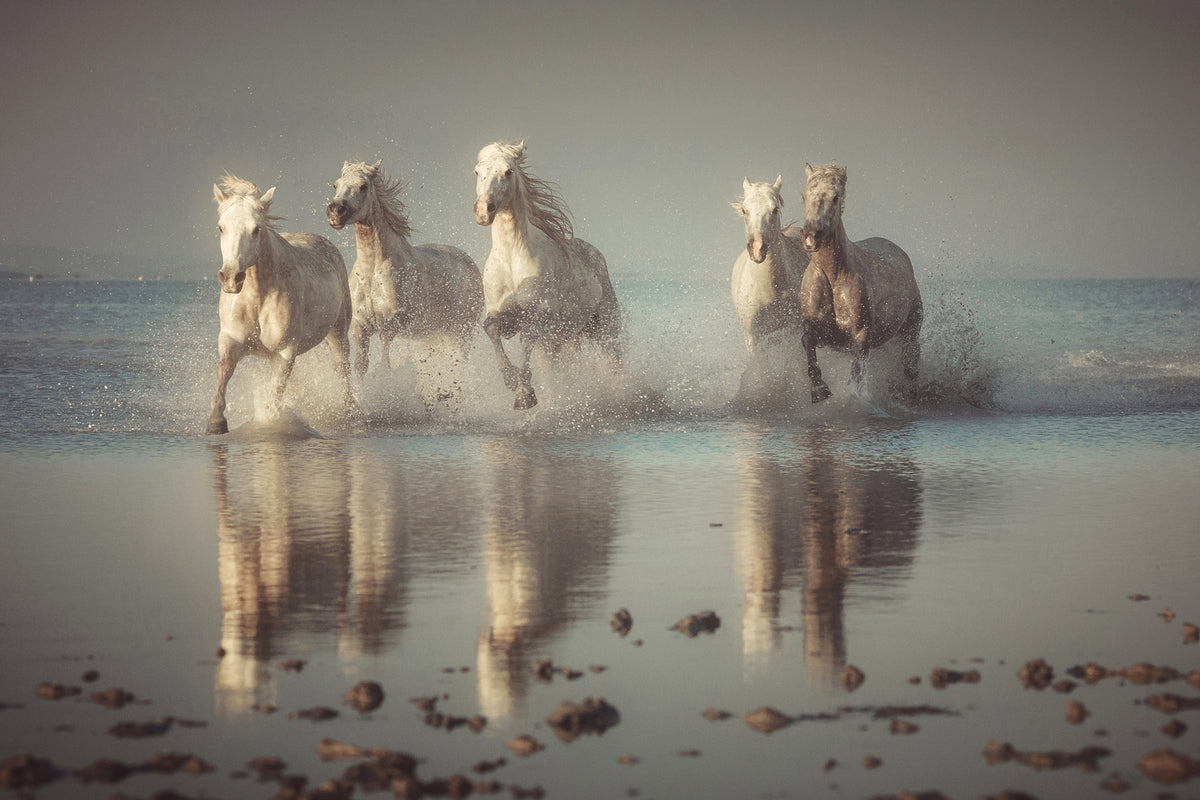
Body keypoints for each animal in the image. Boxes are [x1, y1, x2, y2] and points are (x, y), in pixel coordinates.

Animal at [206, 176, 352, 438]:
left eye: (256, 229)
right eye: (221, 227)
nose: (231, 278)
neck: (258, 297)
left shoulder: (284, 350)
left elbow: (275, 393)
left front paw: (272, 426)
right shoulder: (232, 339)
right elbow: (224, 370)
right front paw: (216, 423)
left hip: (338, 332)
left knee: (342, 370)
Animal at [326, 160, 484, 383]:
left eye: (363, 186)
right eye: (336, 185)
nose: (335, 211)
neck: (373, 273)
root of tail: (469, 262)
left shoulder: (393, 323)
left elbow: (385, 362)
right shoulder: (360, 327)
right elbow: (361, 366)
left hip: (462, 333)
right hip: (435, 335)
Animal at [470, 138, 624, 410]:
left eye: (508, 172)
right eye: (478, 172)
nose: (483, 210)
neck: (512, 261)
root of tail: (596, 253)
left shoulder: (538, 316)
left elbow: (526, 340)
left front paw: (524, 394)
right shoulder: (503, 314)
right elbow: (491, 328)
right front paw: (512, 381)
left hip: (605, 327)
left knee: (613, 363)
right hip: (563, 339)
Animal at [801, 163, 921, 402]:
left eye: (835, 197)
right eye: (804, 196)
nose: (810, 236)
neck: (834, 278)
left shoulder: (861, 335)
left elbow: (856, 375)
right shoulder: (821, 331)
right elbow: (807, 341)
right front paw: (819, 390)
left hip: (911, 329)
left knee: (911, 363)